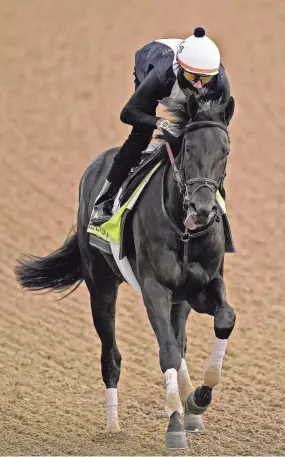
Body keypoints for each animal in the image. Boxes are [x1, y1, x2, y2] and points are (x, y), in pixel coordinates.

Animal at [15, 93, 235, 448]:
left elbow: (223, 320)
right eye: (188, 148)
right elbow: (167, 352)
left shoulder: (202, 287)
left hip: (180, 301)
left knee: (181, 340)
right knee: (112, 356)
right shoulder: (154, 289)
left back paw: (189, 408)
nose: (202, 210)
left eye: (224, 150)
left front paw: (197, 400)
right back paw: (113, 426)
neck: (184, 231)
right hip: (101, 285)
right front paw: (175, 425)